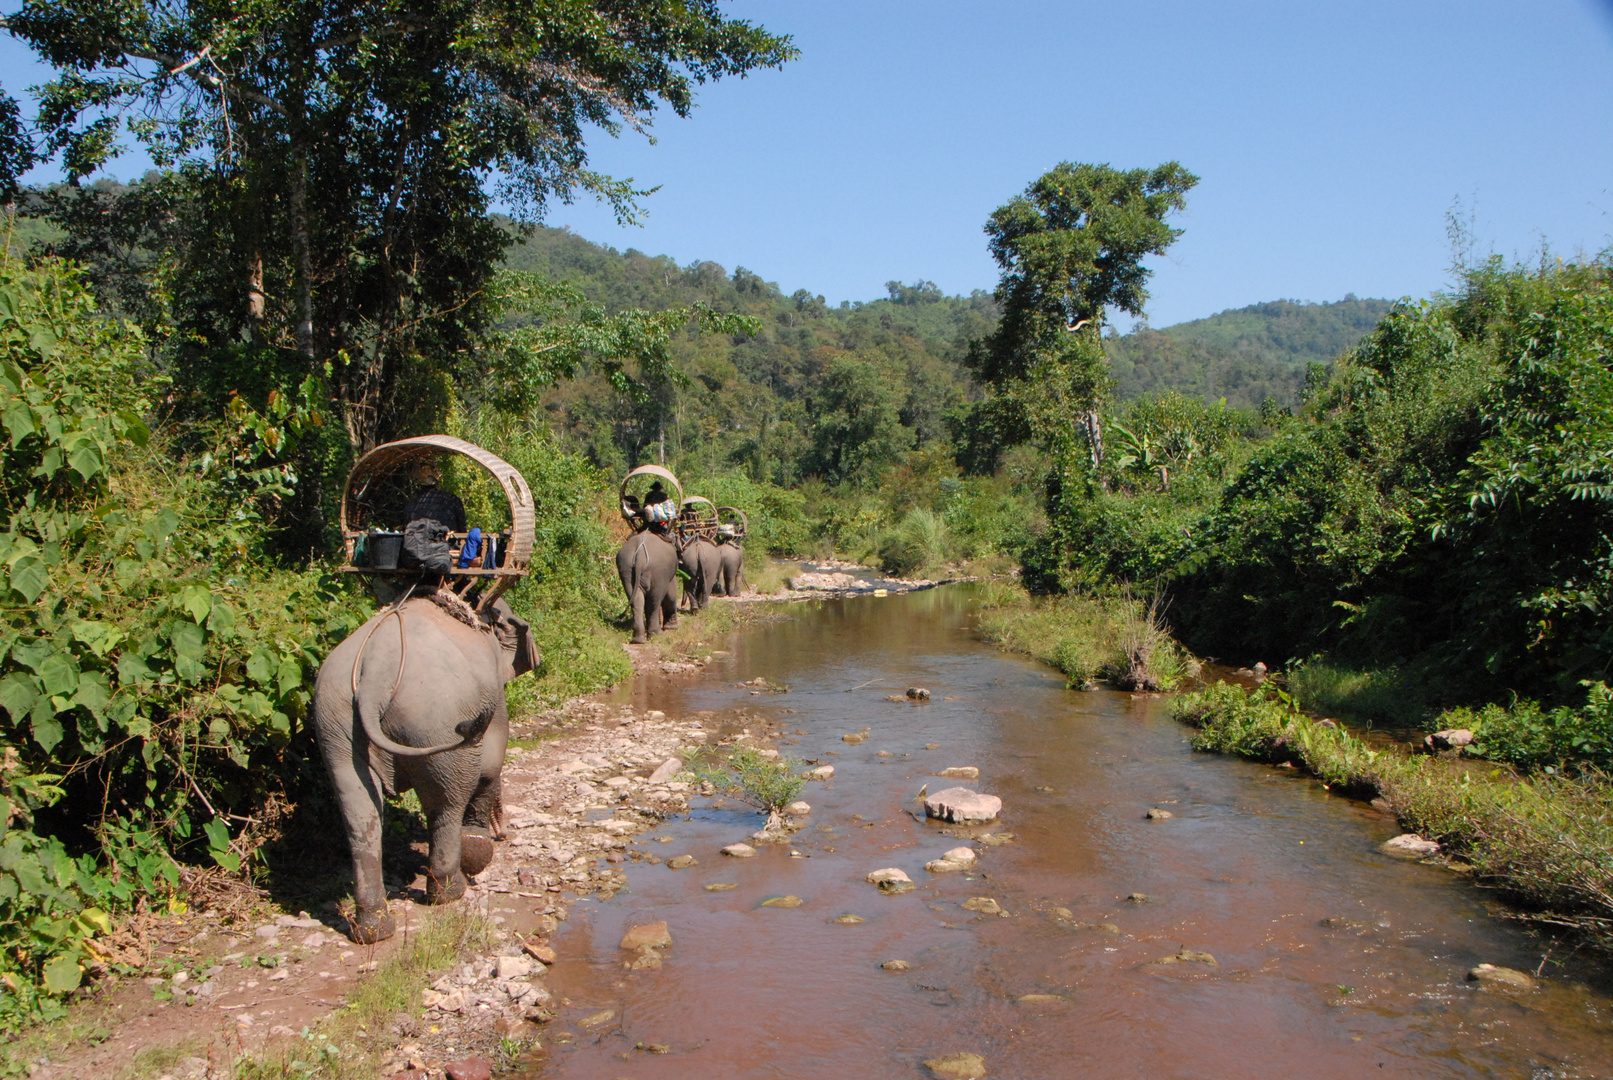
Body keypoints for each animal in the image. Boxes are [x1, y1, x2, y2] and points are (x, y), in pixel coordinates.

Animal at [311, 596, 538, 941]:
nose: (503, 833)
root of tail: (375, 672)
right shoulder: (492, 696)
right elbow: (491, 758)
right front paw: (479, 850)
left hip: (335, 720)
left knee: (359, 809)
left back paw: (373, 929)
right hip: (437, 722)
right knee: (446, 801)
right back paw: (450, 890)